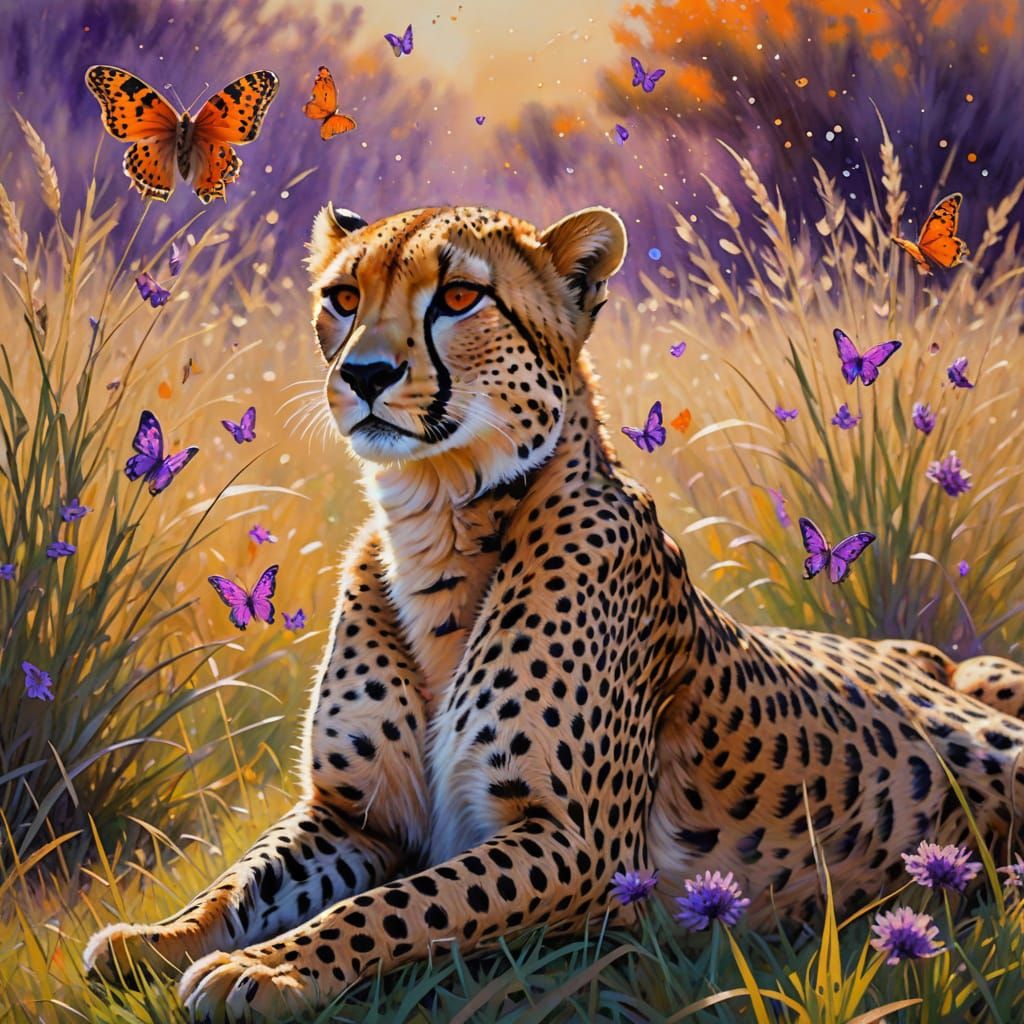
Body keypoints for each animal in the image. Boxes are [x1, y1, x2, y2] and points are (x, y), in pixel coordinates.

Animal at [85, 202, 1024, 1022]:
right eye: (343, 298)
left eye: (459, 296)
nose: (363, 374)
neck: (436, 524)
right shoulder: (352, 815)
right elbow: (240, 881)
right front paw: (156, 939)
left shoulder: (582, 849)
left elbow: (399, 906)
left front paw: (266, 970)